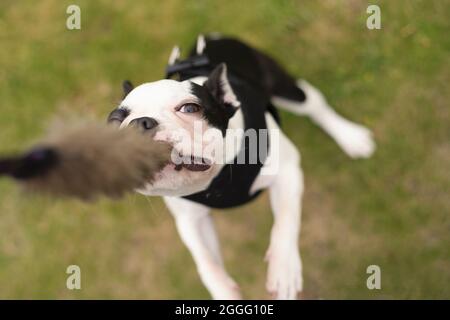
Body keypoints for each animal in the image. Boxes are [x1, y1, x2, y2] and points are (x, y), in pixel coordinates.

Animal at [107, 35, 374, 300]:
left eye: (190, 108)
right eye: (114, 121)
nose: (139, 124)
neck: (219, 178)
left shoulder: (287, 170)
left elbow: (285, 221)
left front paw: (284, 269)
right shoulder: (190, 218)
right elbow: (204, 258)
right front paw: (224, 292)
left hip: (282, 85)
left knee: (314, 103)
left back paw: (351, 137)